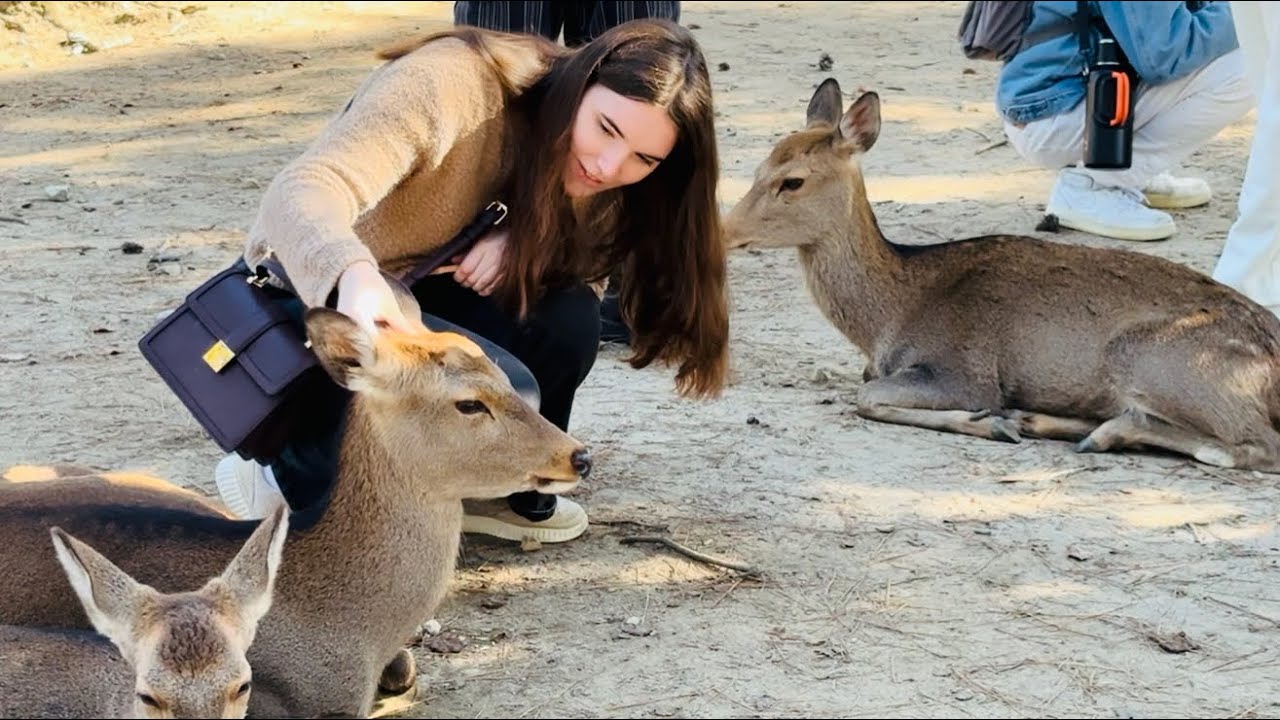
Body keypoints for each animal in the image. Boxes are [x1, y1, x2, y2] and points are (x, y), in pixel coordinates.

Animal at [723, 77, 1280, 474]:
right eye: (758, 167)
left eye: (793, 181)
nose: (724, 230)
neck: (888, 318)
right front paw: (1001, 421)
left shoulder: (964, 369)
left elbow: (868, 397)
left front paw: (986, 421)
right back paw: (1039, 420)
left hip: (1155, 359)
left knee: (1253, 445)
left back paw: (1095, 431)